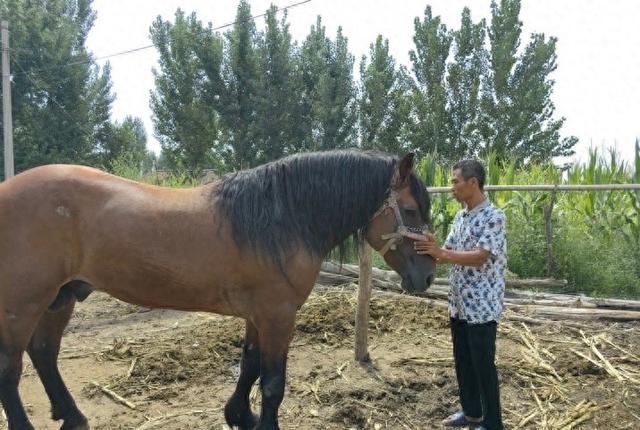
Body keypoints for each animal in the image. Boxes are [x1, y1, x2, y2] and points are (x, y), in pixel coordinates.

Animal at [0, 149, 436, 428]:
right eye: (410, 210)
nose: (428, 277)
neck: (281, 219)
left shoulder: (259, 314)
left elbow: (249, 365)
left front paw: (240, 416)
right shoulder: (278, 315)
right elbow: (272, 382)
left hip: (60, 298)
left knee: (44, 353)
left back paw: (73, 417)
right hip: (23, 304)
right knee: (11, 369)